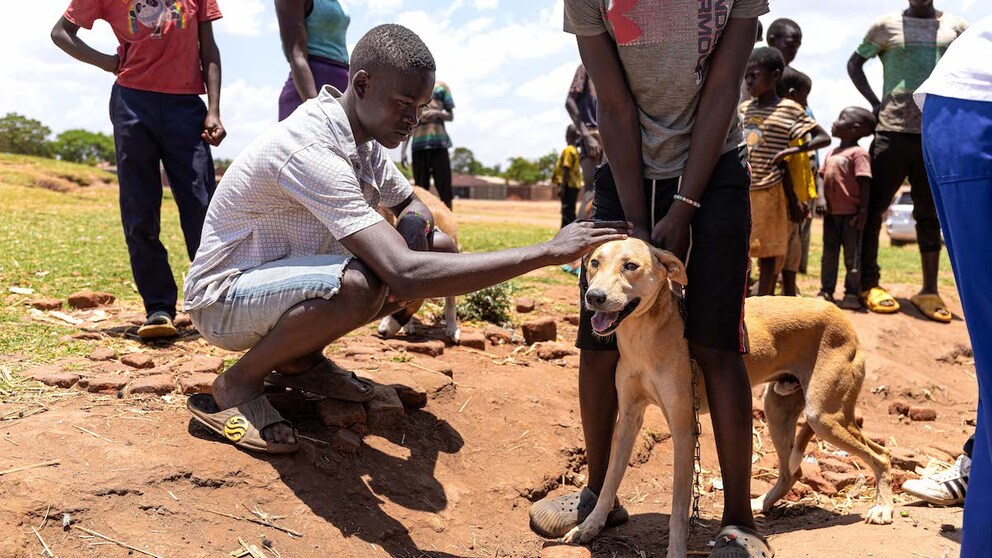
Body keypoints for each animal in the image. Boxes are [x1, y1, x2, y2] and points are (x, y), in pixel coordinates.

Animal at [564, 240, 900, 556]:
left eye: (630, 266)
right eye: (594, 263)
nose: (594, 297)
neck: (644, 337)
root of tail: (840, 314)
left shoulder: (684, 429)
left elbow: (678, 507)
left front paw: (676, 550)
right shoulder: (628, 420)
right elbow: (609, 481)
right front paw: (589, 526)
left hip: (824, 417)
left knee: (881, 454)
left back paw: (883, 507)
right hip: (776, 409)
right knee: (792, 471)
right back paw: (761, 503)